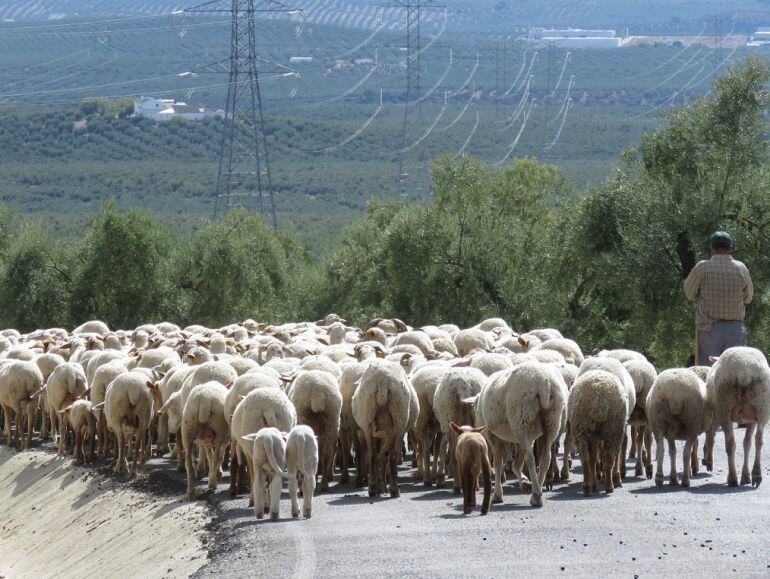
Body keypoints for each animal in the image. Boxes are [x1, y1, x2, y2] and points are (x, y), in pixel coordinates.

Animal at [352, 358, 414, 498]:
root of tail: (383, 380)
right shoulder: (388, 434)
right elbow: (384, 455)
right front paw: (383, 484)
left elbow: (381, 455)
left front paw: (381, 484)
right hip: (399, 420)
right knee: (392, 454)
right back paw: (394, 489)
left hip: (368, 417)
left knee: (372, 455)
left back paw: (373, 487)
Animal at [472, 362, 568, 508]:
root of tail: (543, 382)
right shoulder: (526, 438)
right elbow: (516, 464)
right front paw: (525, 482)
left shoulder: (493, 436)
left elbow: (498, 464)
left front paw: (497, 495)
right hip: (552, 420)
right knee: (545, 458)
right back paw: (537, 490)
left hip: (521, 418)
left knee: (531, 459)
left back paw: (536, 495)